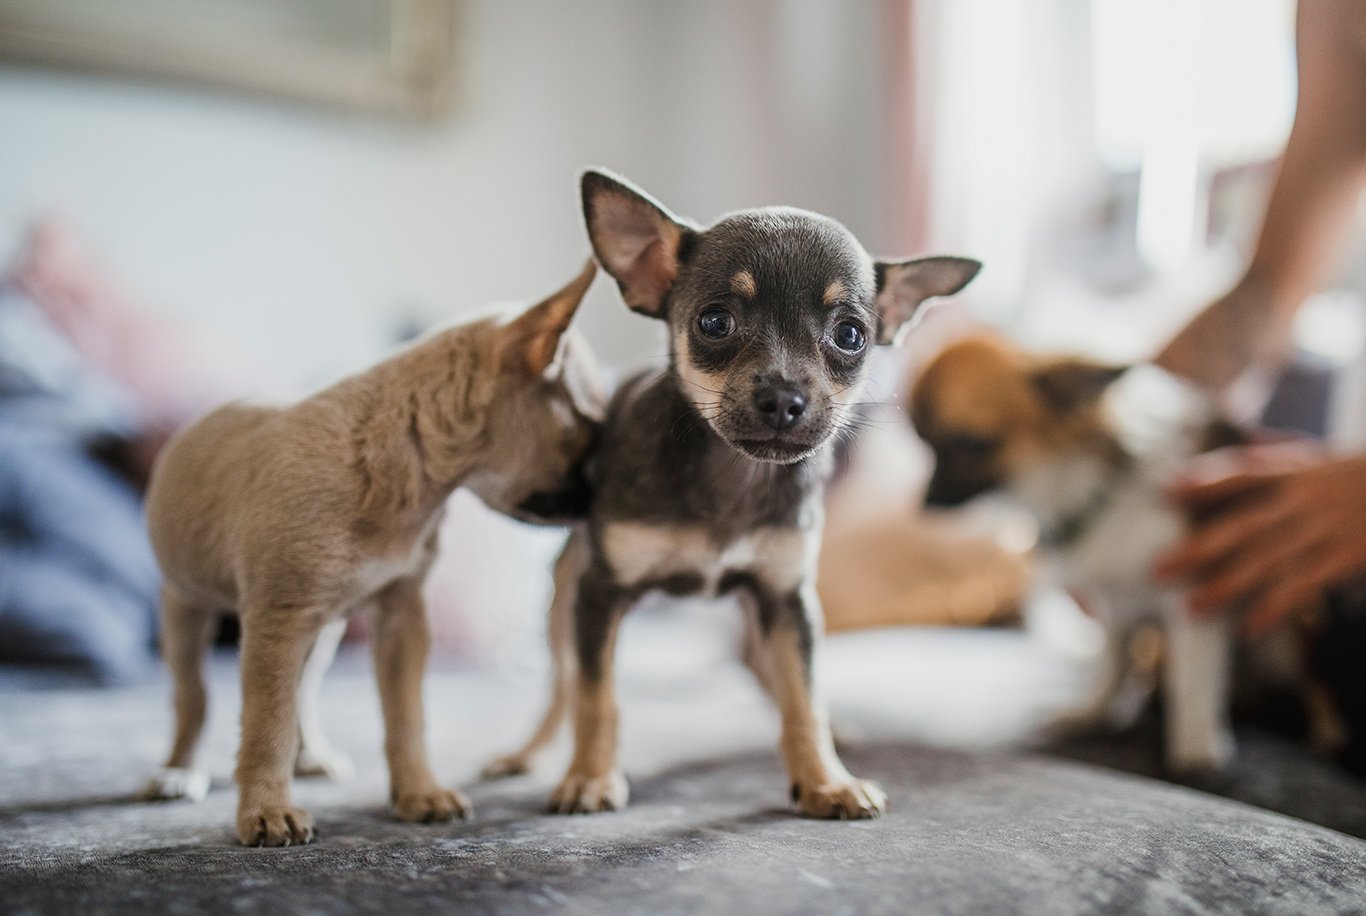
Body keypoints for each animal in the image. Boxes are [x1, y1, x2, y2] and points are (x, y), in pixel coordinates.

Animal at [141, 259, 606, 846]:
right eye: (590, 430)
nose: (604, 505)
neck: (400, 467)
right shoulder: (276, 622)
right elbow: (266, 724)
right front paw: (267, 809)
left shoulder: (400, 620)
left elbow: (405, 717)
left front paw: (418, 792)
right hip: (185, 608)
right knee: (193, 697)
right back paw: (179, 770)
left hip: (322, 633)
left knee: (302, 693)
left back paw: (310, 756)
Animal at [486, 169, 978, 819]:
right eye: (715, 322)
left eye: (851, 336)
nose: (784, 399)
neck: (733, 472)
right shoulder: (600, 593)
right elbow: (597, 697)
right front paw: (590, 777)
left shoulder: (788, 598)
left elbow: (803, 695)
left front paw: (824, 780)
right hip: (564, 594)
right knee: (562, 684)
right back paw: (528, 753)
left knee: (767, 668)